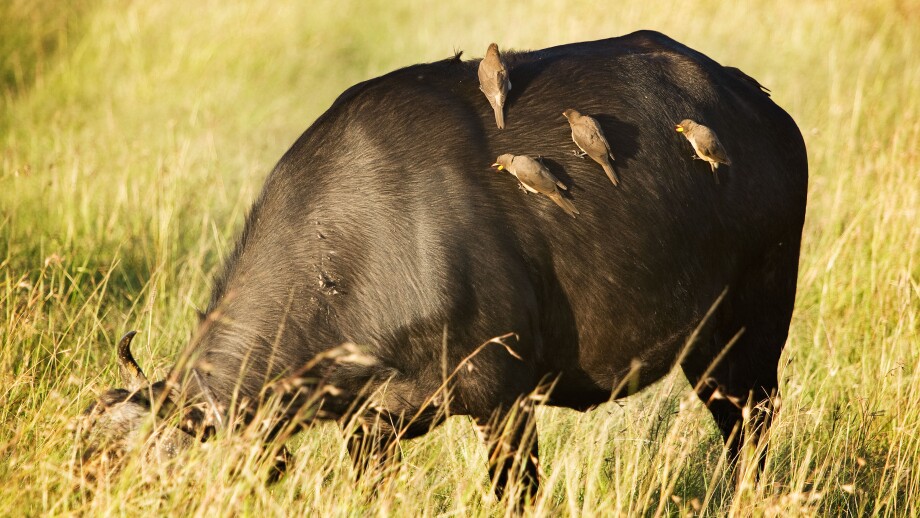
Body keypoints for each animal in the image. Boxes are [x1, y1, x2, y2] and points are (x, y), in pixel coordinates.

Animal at [76, 30, 807, 501]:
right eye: (88, 468)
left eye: (149, 480)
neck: (358, 253)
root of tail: (764, 109)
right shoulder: (369, 427)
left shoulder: (505, 404)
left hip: (749, 334)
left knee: (754, 432)